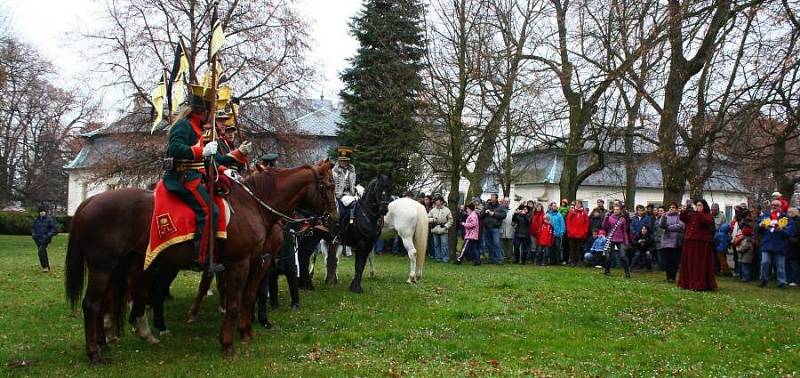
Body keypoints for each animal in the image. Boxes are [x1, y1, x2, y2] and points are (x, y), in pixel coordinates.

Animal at [64, 159, 336, 364]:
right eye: (329, 186)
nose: (333, 218)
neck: (252, 206)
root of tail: (90, 201)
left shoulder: (257, 261)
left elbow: (248, 297)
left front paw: (246, 332)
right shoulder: (241, 263)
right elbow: (235, 303)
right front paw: (227, 343)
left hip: (118, 266)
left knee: (106, 302)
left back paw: (106, 342)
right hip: (105, 267)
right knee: (92, 304)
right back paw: (96, 353)